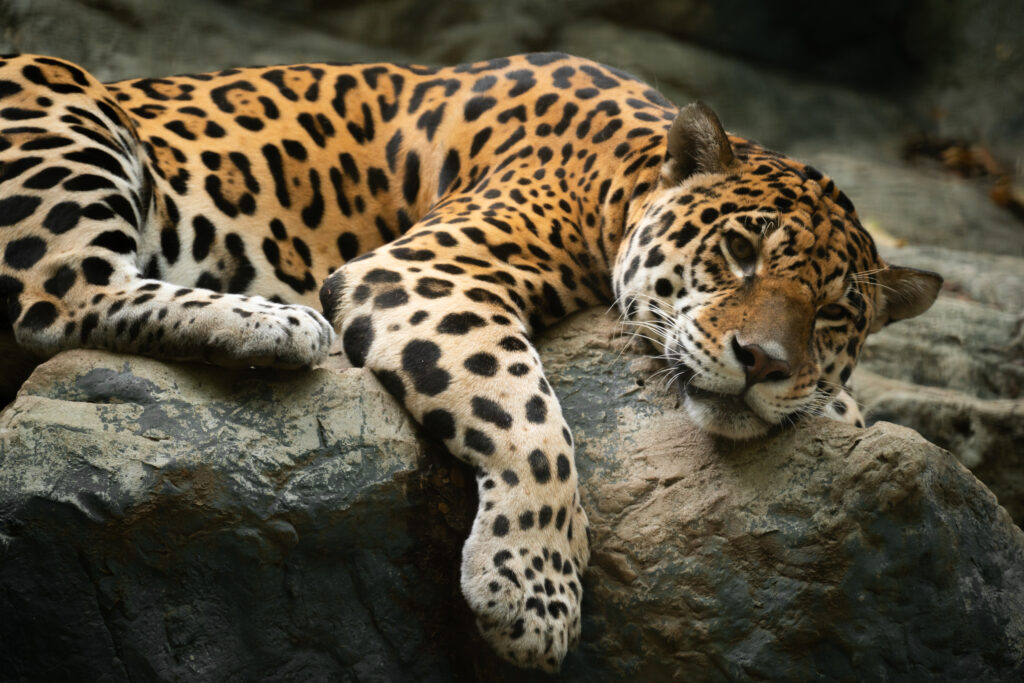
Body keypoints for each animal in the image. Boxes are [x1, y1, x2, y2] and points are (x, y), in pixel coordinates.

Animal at [0, 52, 941, 671]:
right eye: (741, 251)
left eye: (833, 315)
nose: (761, 360)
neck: (624, 167)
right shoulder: (426, 271)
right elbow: (529, 417)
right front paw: (534, 589)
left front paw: (838, 407)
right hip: (58, 95)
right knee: (57, 293)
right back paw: (276, 325)